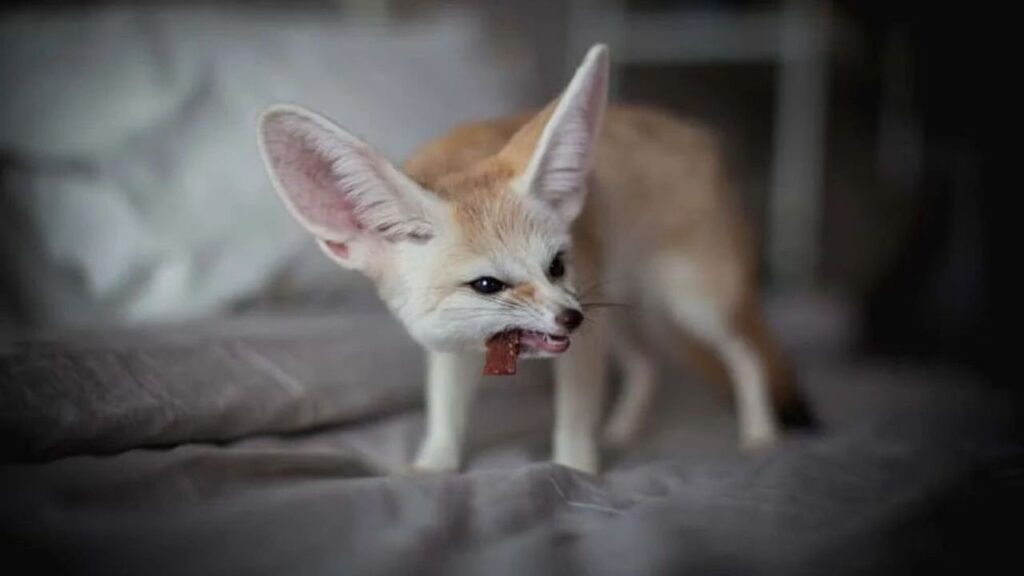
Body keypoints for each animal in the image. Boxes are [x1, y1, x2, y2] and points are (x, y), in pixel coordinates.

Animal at [256, 44, 813, 474]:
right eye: (487, 285)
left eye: (556, 265)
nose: (570, 316)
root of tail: (698, 133)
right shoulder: (452, 349)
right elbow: (445, 416)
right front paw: (432, 468)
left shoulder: (582, 340)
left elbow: (572, 423)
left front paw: (575, 473)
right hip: (619, 314)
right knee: (648, 365)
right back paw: (621, 430)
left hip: (687, 306)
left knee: (746, 357)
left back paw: (760, 434)